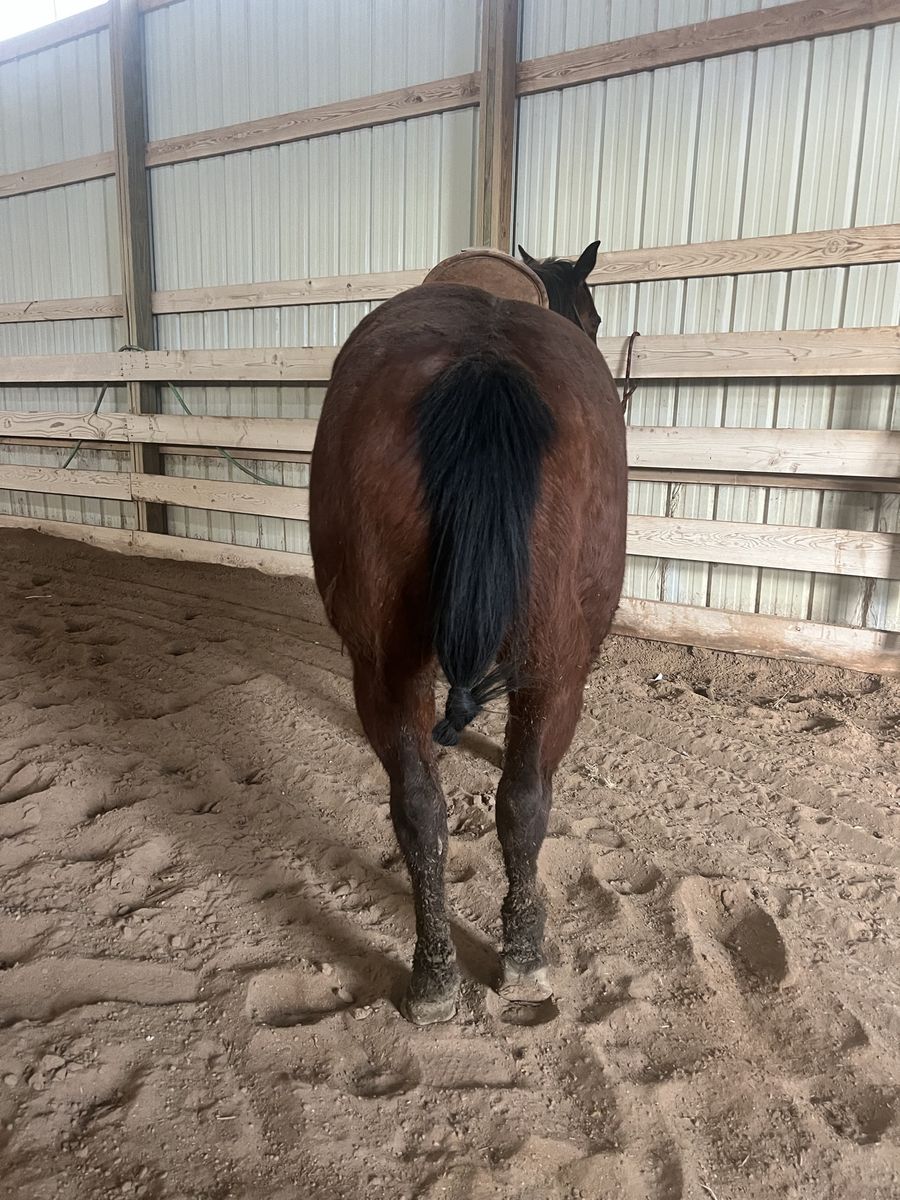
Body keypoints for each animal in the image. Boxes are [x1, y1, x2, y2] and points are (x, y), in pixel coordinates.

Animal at [308, 241, 627, 1023]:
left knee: (428, 810)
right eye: (594, 315)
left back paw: (434, 974)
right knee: (523, 798)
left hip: (387, 664)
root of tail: (482, 362)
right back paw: (521, 955)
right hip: (555, 663)